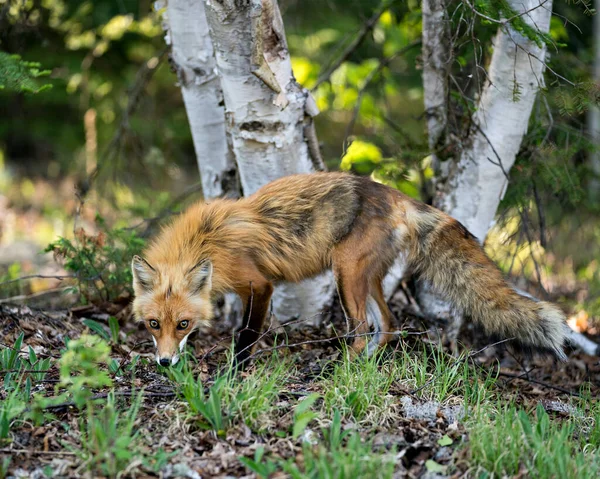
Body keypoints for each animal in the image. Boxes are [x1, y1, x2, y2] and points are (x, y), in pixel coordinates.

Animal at [131, 172, 568, 368]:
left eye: (184, 324)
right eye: (154, 324)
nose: (164, 363)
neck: (206, 241)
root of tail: (395, 194)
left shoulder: (259, 284)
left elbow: (246, 335)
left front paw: (235, 370)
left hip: (346, 274)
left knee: (362, 327)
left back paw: (343, 368)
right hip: (367, 277)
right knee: (387, 324)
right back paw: (366, 365)